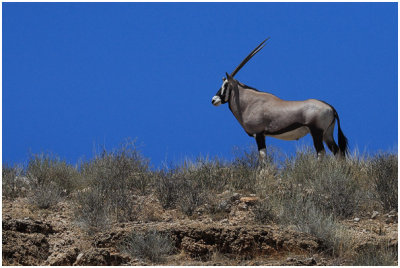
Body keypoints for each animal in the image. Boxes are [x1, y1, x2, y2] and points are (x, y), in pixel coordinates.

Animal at [211, 38, 348, 160]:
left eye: (226, 85)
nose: (214, 100)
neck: (248, 102)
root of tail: (331, 108)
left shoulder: (258, 134)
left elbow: (262, 157)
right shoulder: (262, 135)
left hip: (317, 132)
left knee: (321, 153)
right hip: (327, 134)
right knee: (338, 152)